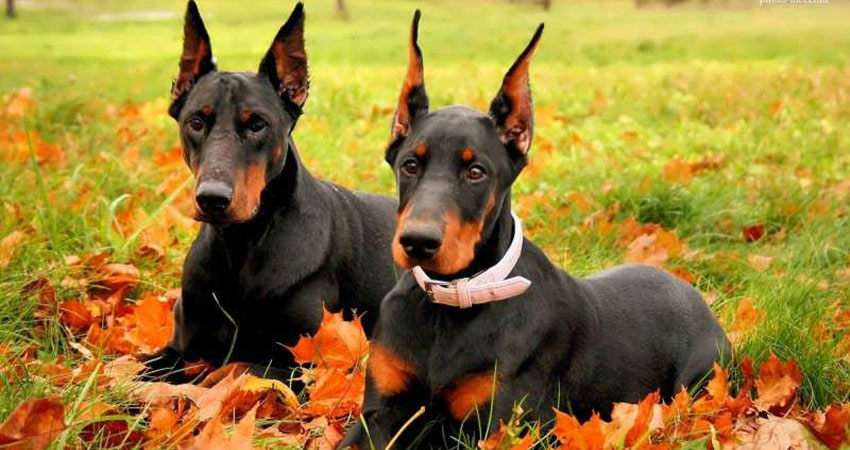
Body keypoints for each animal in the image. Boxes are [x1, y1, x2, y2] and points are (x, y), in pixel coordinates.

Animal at [143, 1, 398, 383]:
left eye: (257, 124)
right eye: (196, 122)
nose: (212, 198)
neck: (241, 243)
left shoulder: (306, 365)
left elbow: (231, 369)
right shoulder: (180, 343)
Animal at [340, 12, 731, 448]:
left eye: (476, 172)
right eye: (410, 164)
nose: (418, 242)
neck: (451, 301)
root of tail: (695, 294)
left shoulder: (495, 426)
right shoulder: (380, 413)